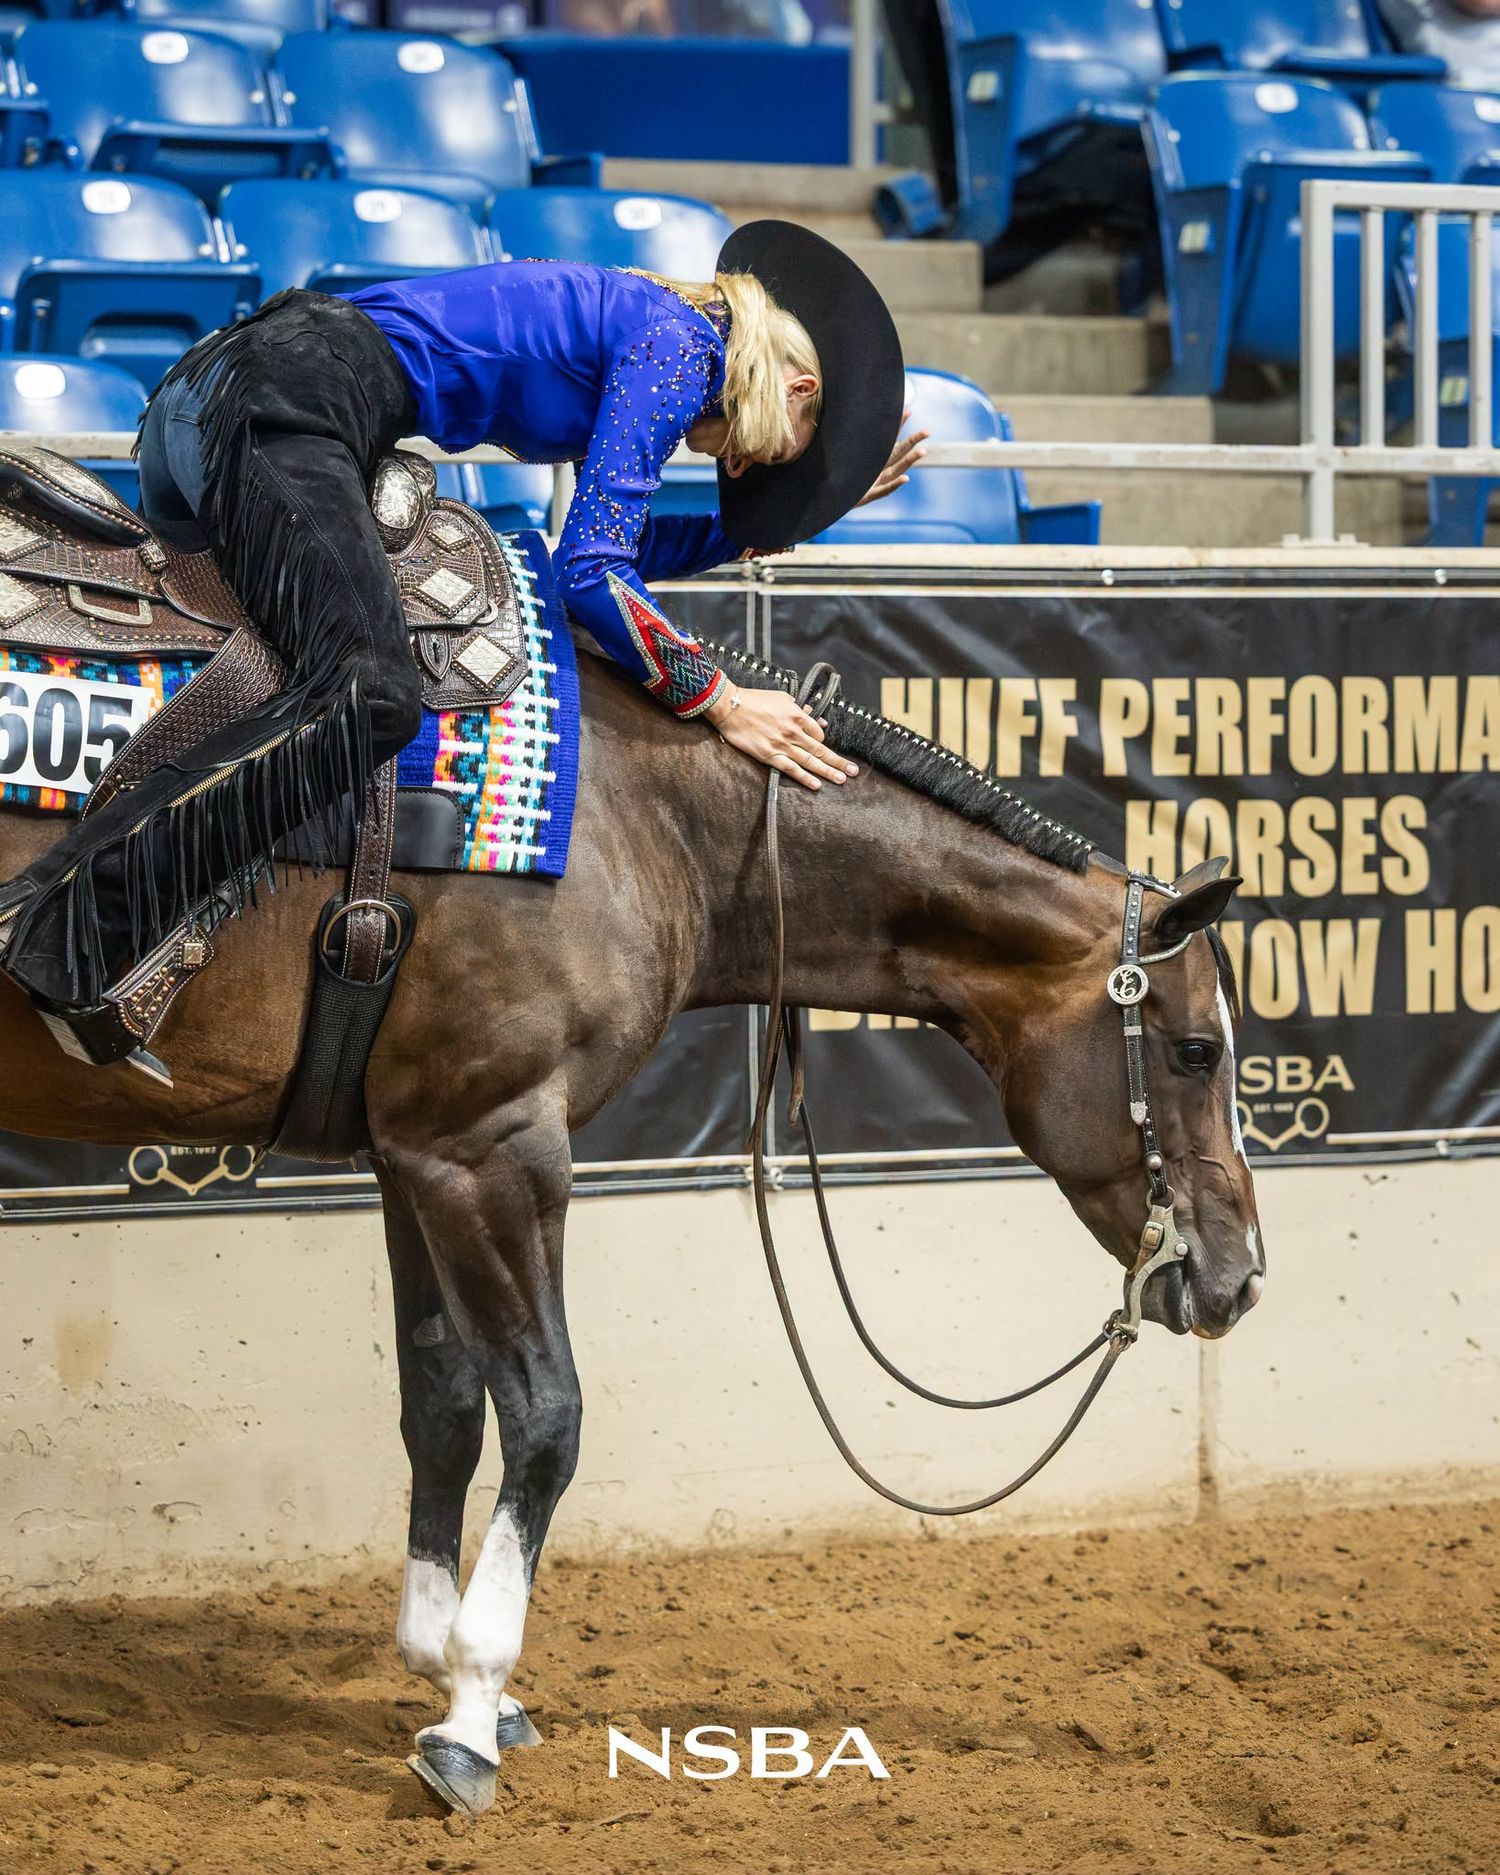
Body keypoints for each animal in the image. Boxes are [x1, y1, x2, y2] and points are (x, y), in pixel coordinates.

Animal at [0, 637, 1264, 1816]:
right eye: (1197, 1050)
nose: (1242, 1278)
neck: (648, 820)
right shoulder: (493, 1149)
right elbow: (545, 1416)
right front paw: (471, 1705)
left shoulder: (414, 1154)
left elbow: (444, 1406)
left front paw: (442, 1661)